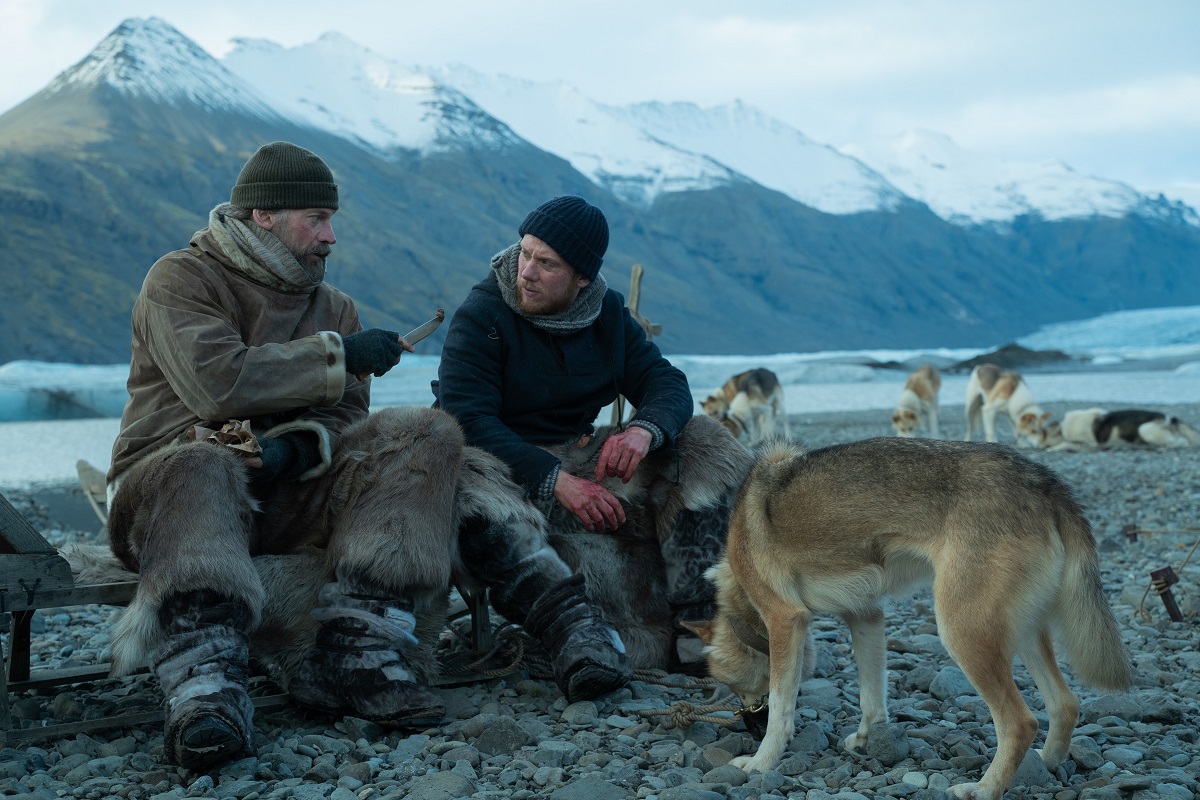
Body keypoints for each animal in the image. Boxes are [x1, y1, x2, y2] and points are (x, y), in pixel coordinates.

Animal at [691, 438, 1128, 800]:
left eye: (736, 690)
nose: (747, 727)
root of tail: (1043, 481)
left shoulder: (786, 621)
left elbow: (783, 707)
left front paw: (761, 762)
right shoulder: (865, 615)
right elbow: (872, 695)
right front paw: (868, 739)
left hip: (962, 632)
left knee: (1021, 723)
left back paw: (985, 789)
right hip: (1022, 632)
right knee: (1065, 704)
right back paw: (1046, 765)